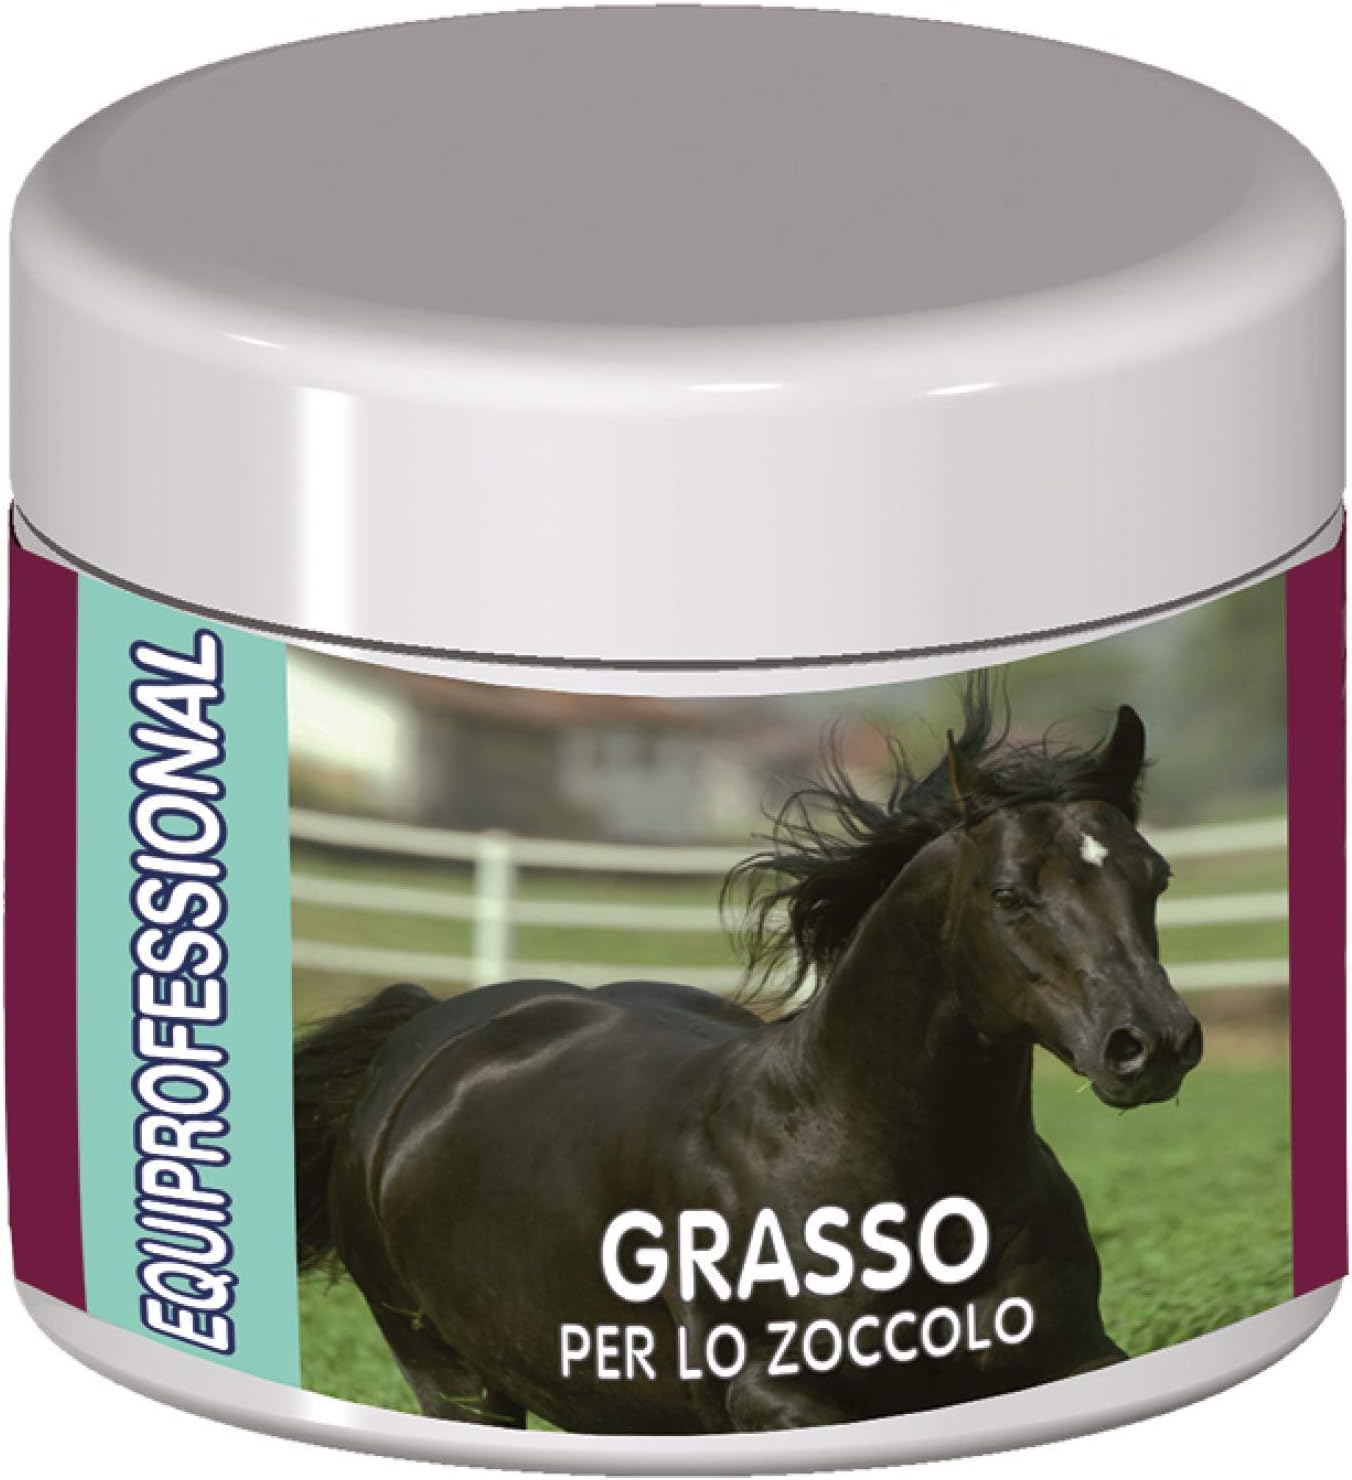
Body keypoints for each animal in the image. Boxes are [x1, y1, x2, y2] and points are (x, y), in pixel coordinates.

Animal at [293, 687, 1202, 1433]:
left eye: (1154, 876)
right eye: (1011, 894)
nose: (1152, 1043)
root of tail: (422, 1035)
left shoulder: (1073, 1355)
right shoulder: (777, 1398)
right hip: (453, 1380)